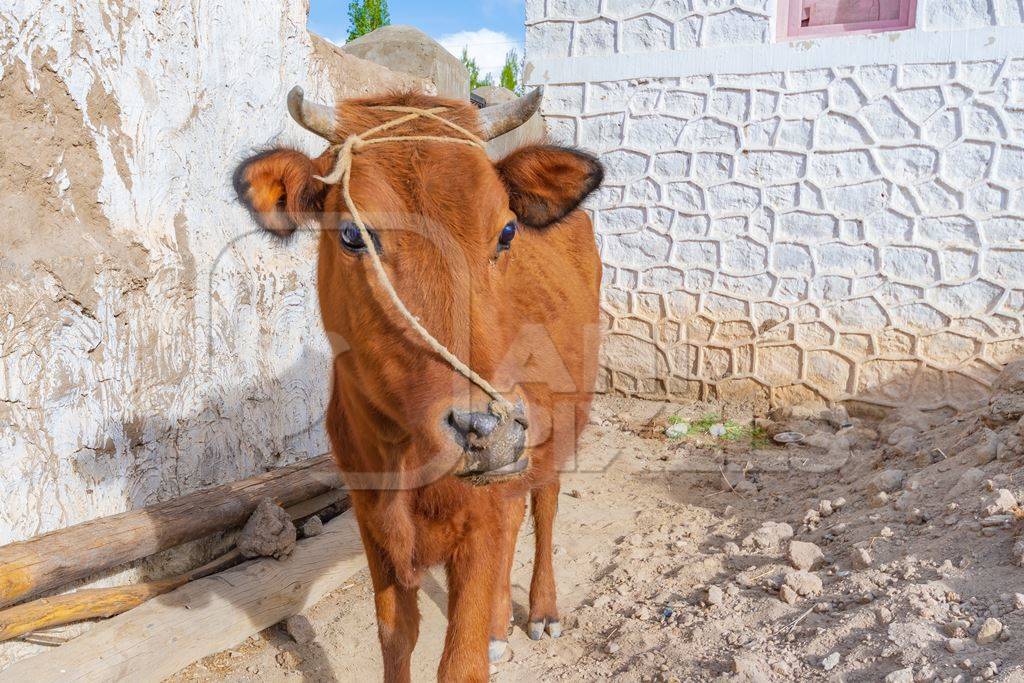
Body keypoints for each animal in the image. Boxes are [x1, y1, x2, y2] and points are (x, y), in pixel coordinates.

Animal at [234, 88, 598, 679]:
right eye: (352, 234)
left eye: (507, 231)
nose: (489, 429)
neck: (403, 456)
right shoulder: (372, 523)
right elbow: (395, 636)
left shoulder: (479, 517)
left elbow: (460, 662)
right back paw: (501, 622)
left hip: (559, 422)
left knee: (543, 501)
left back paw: (542, 609)